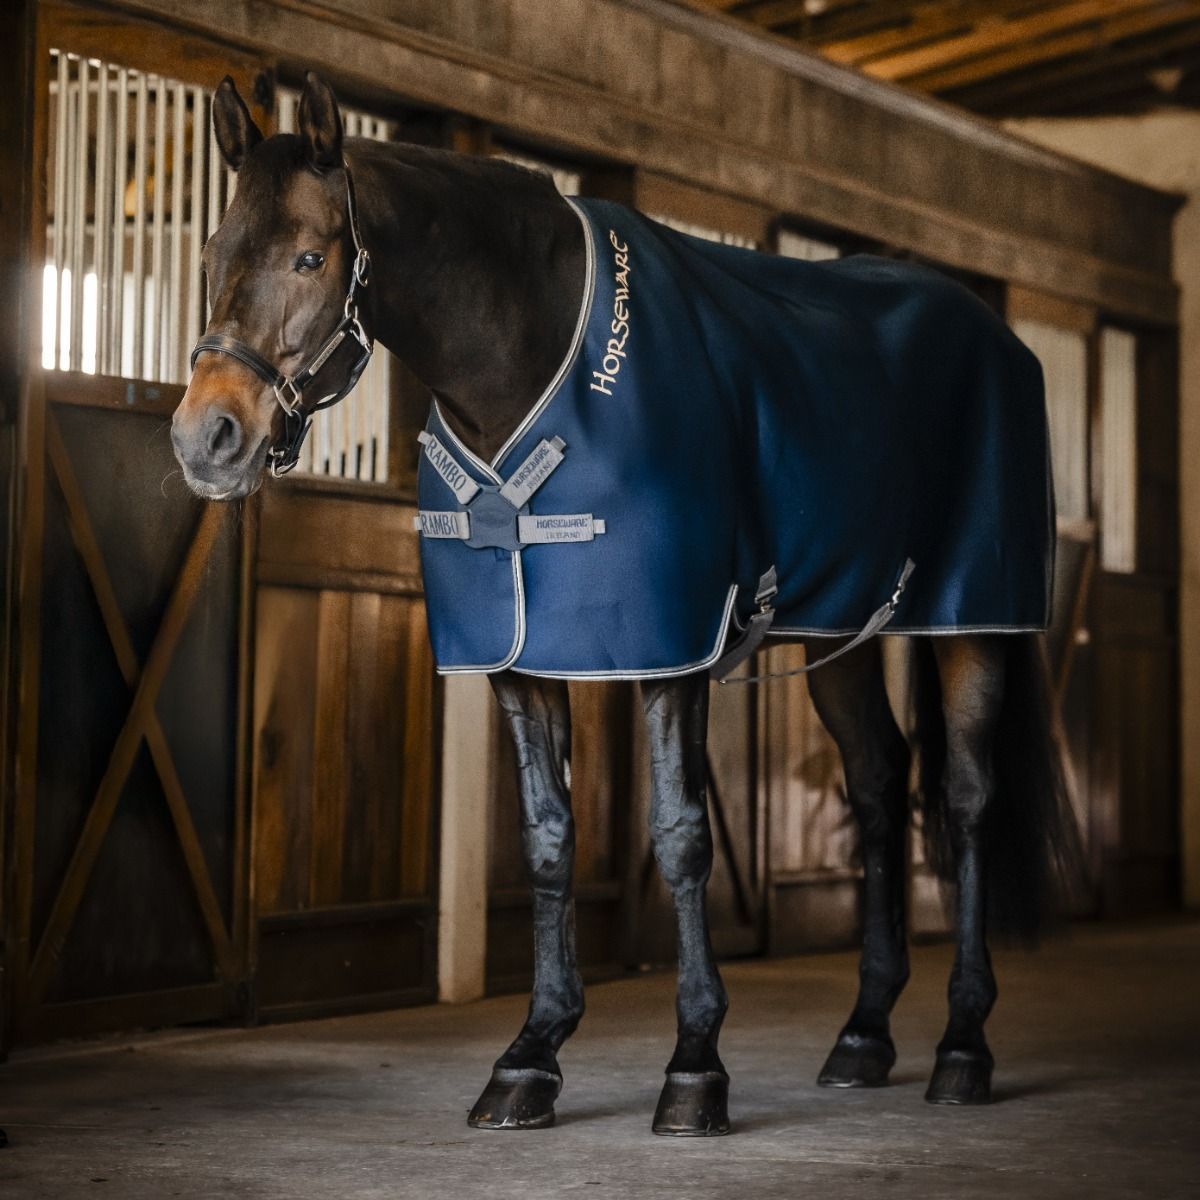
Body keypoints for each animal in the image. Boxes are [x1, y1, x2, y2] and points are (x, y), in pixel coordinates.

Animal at [172, 72, 1078, 1136]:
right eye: (213, 253)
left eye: (311, 255)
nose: (206, 439)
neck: (529, 360)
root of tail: (1003, 340)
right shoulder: (517, 662)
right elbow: (548, 841)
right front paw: (530, 1056)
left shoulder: (668, 651)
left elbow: (681, 840)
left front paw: (695, 1064)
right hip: (846, 636)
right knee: (879, 783)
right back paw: (862, 1037)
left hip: (974, 624)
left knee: (968, 800)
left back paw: (963, 1047)